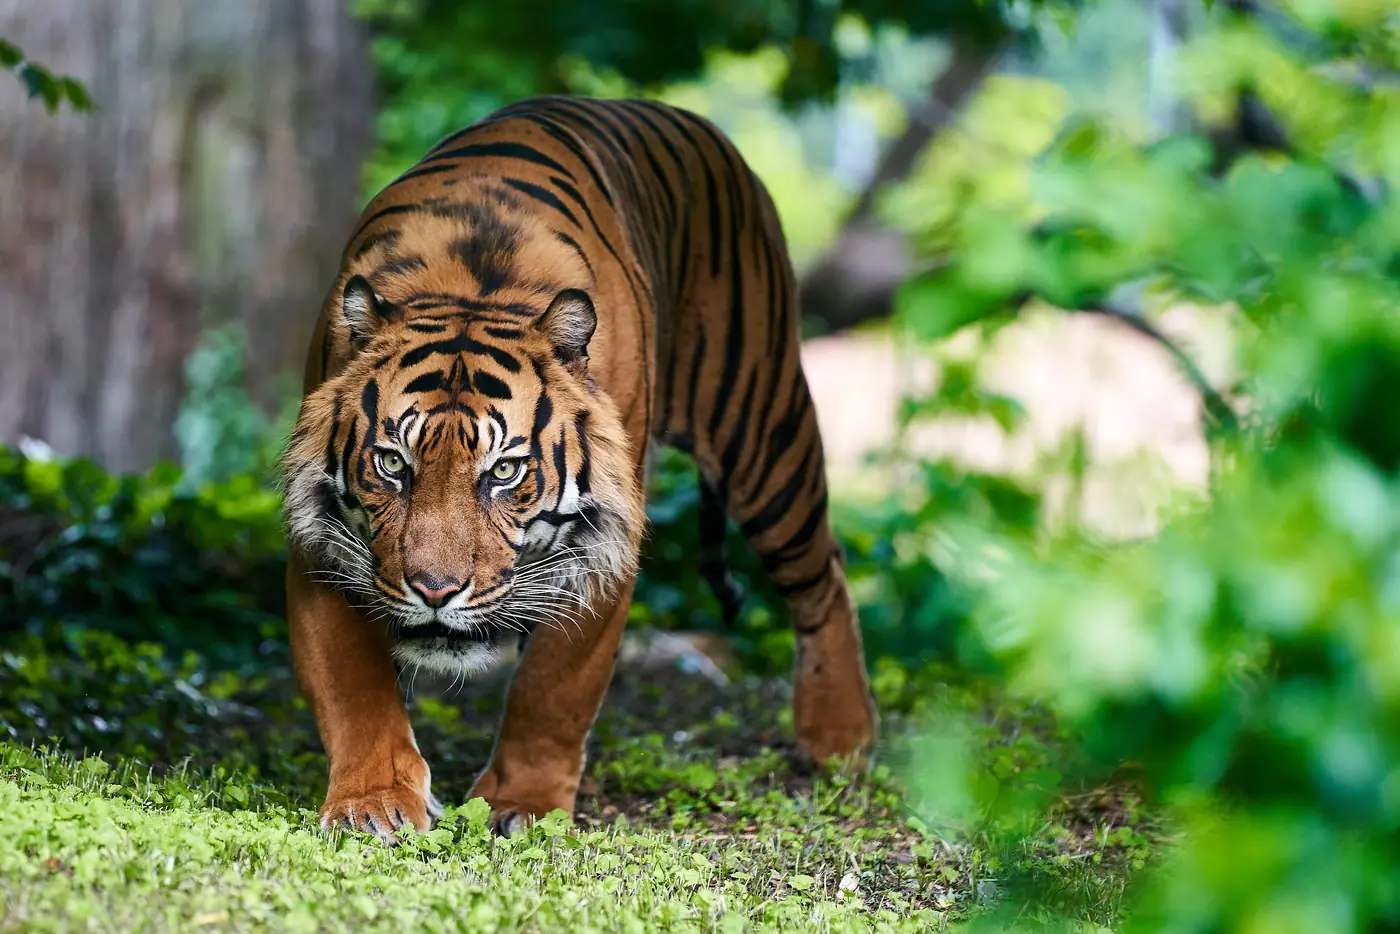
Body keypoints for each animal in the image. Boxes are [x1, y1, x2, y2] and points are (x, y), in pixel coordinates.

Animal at [282, 96, 877, 837]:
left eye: (504, 472)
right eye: (393, 464)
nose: (435, 591)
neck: (470, 286)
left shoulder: (603, 548)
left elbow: (554, 687)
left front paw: (523, 804)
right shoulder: (322, 536)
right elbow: (353, 682)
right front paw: (375, 803)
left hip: (764, 432)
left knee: (824, 578)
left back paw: (839, 739)